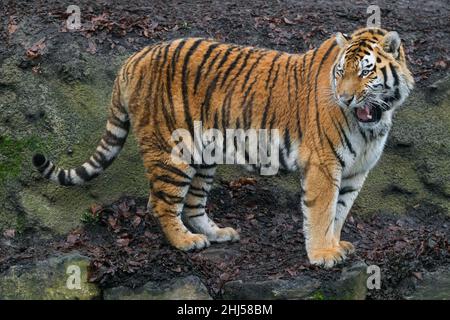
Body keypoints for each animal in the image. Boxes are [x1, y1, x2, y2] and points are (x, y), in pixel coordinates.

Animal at [33, 26, 414, 268]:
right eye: (340, 72)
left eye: (365, 72)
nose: (345, 97)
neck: (373, 121)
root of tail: (133, 58)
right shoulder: (324, 165)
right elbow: (322, 213)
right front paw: (322, 255)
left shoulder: (354, 172)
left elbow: (339, 213)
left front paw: (336, 246)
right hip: (173, 152)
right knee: (161, 203)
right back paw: (186, 242)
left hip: (204, 155)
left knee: (192, 206)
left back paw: (217, 234)